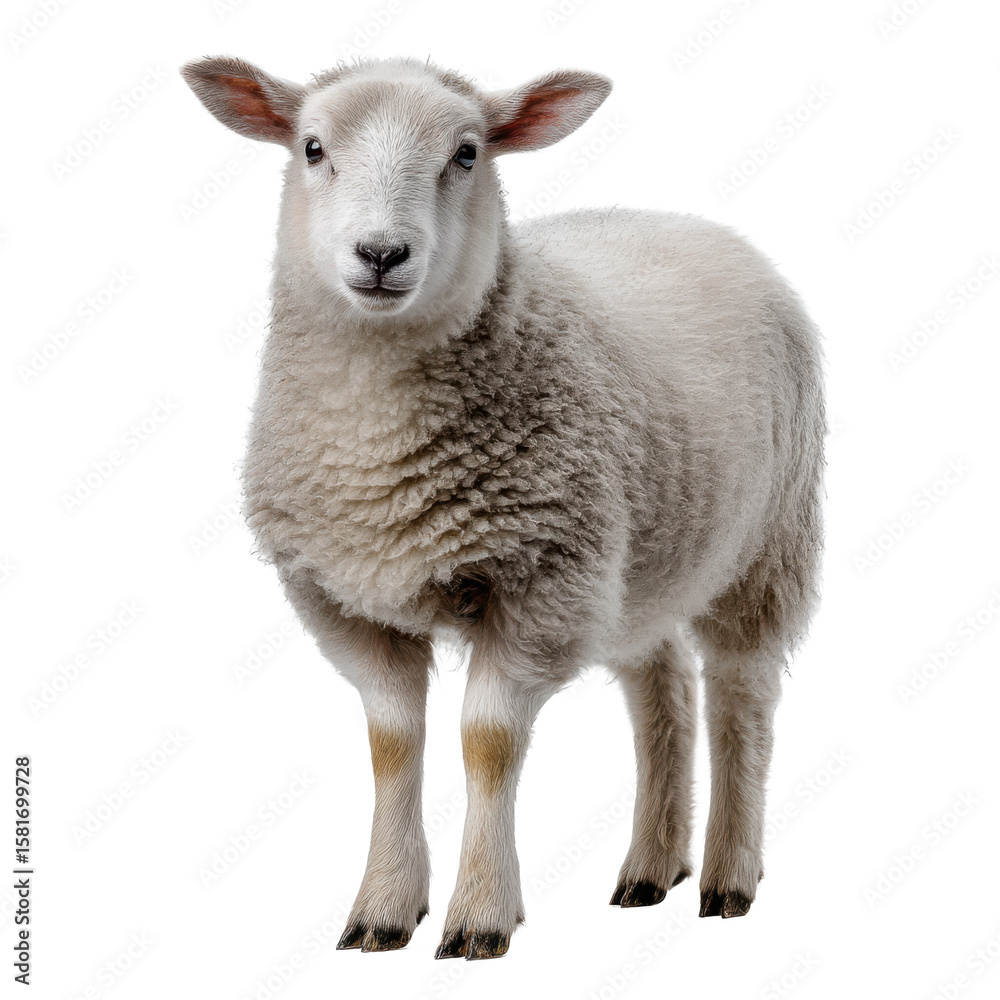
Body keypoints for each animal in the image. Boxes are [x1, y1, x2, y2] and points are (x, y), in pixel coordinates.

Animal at [181, 54, 826, 961]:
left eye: (466, 153)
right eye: (312, 147)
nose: (381, 253)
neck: (377, 457)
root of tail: (685, 222)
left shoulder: (541, 583)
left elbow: (486, 742)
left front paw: (481, 917)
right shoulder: (348, 599)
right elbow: (392, 743)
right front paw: (383, 910)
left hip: (769, 540)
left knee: (743, 697)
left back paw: (729, 877)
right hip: (638, 555)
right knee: (661, 691)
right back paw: (650, 869)